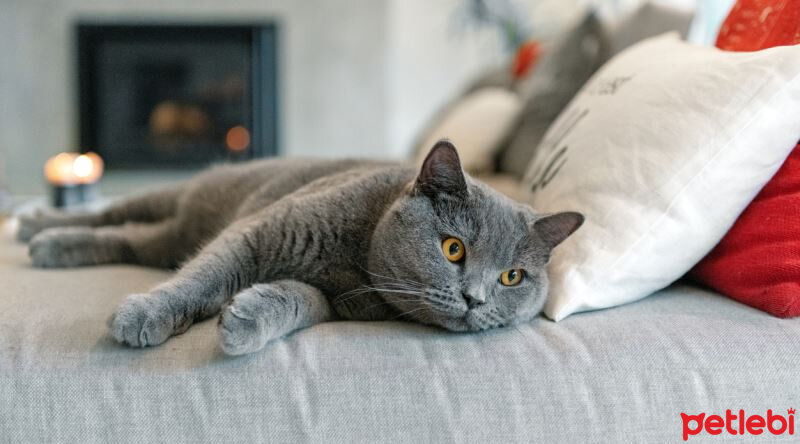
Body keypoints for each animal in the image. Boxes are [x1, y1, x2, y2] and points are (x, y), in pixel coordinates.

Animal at [17, 142, 580, 358]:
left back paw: (55, 245)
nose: (476, 300)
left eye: (512, 278)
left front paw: (247, 318)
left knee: (132, 238)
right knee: (113, 212)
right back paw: (37, 228)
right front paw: (147, 314)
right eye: (454, 249)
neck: (356, 264)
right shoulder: (258, 230)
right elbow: (203, 275)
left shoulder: (335, 302)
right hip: (184, 195)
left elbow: (299, 300)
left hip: (168, 235)